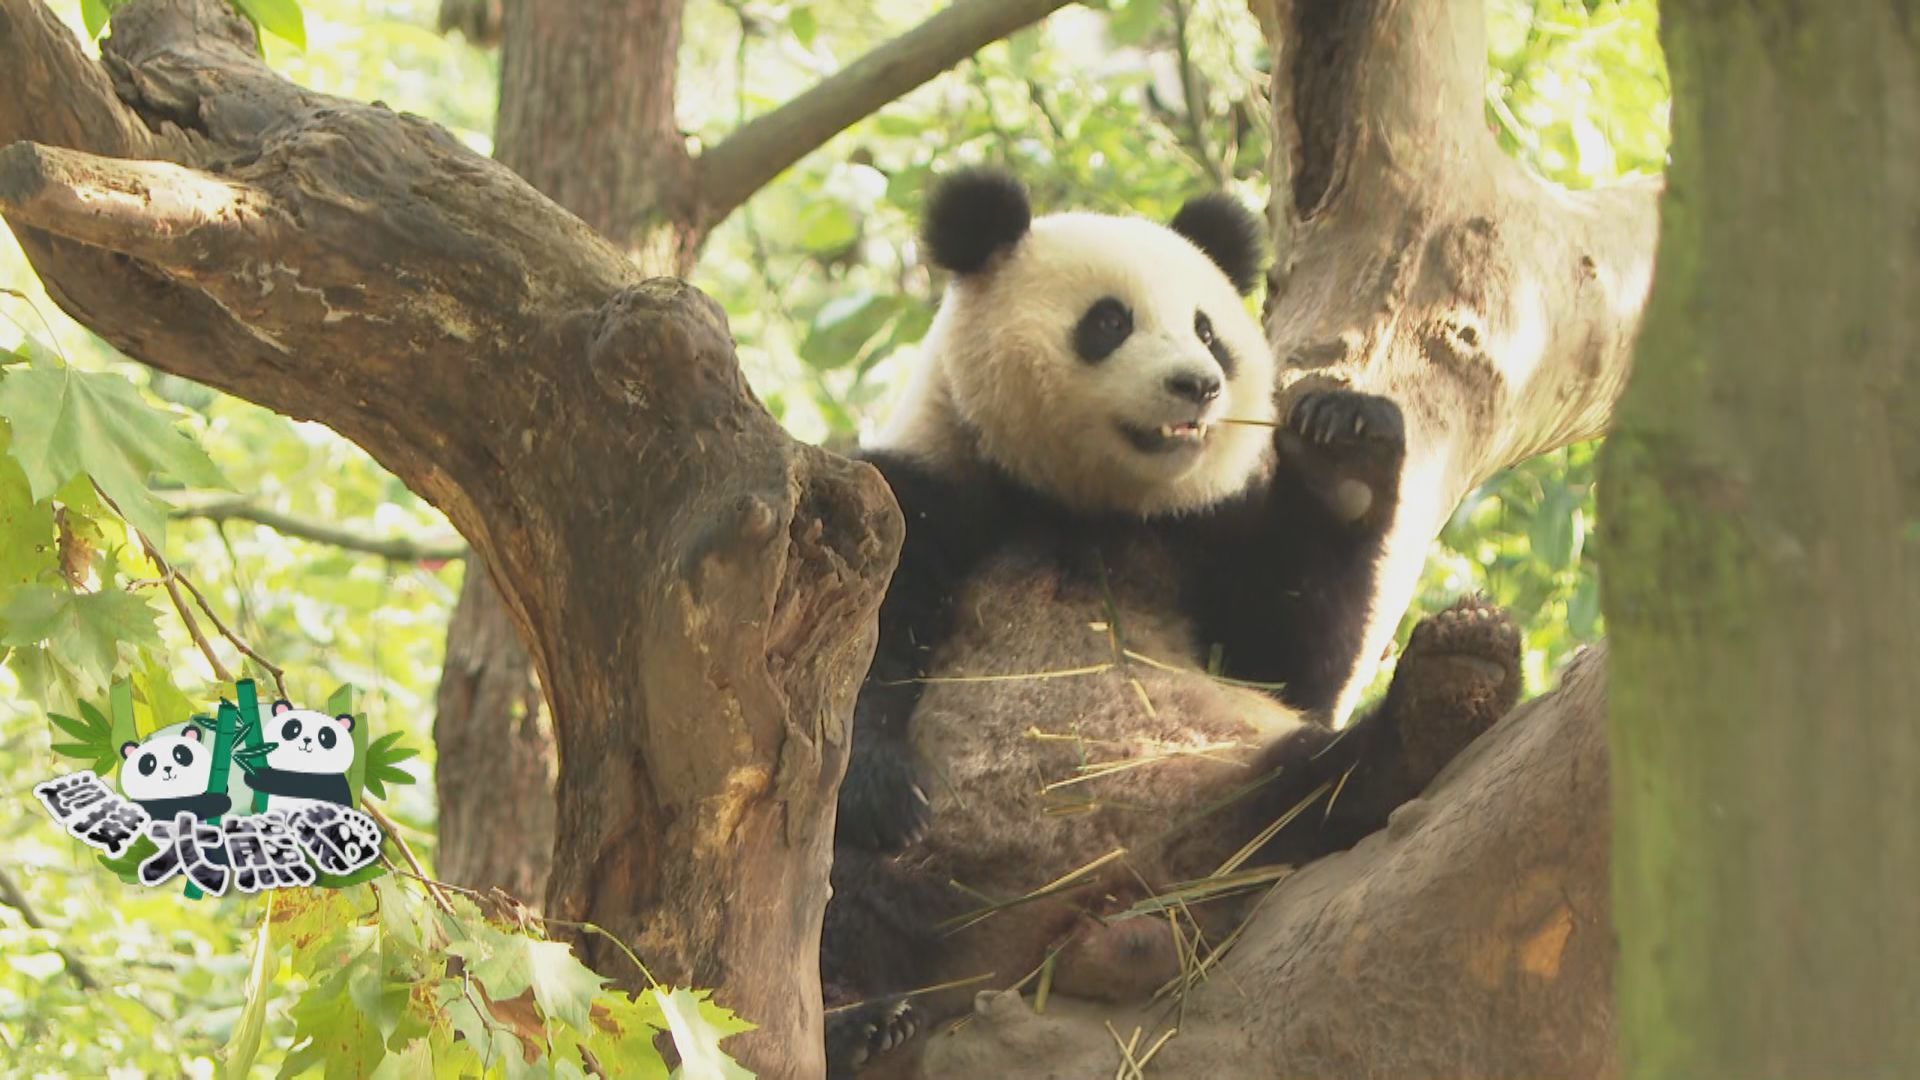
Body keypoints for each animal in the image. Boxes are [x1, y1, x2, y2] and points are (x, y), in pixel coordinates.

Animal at [825, 168, 1512, 1068]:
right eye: (1109, 321)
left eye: (1208, 331)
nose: (1198, 385)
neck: (1081, 507)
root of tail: (1086, 914)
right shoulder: (923, 498)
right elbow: (854, 661)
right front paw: (882, 786)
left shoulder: (1198, 540)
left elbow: (1294, 664)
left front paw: (1346, 454)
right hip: (947, 865)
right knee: (841, 899)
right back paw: (863, 1025)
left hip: (1220, 794)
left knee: (1318, 785)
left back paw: (1446, 696)